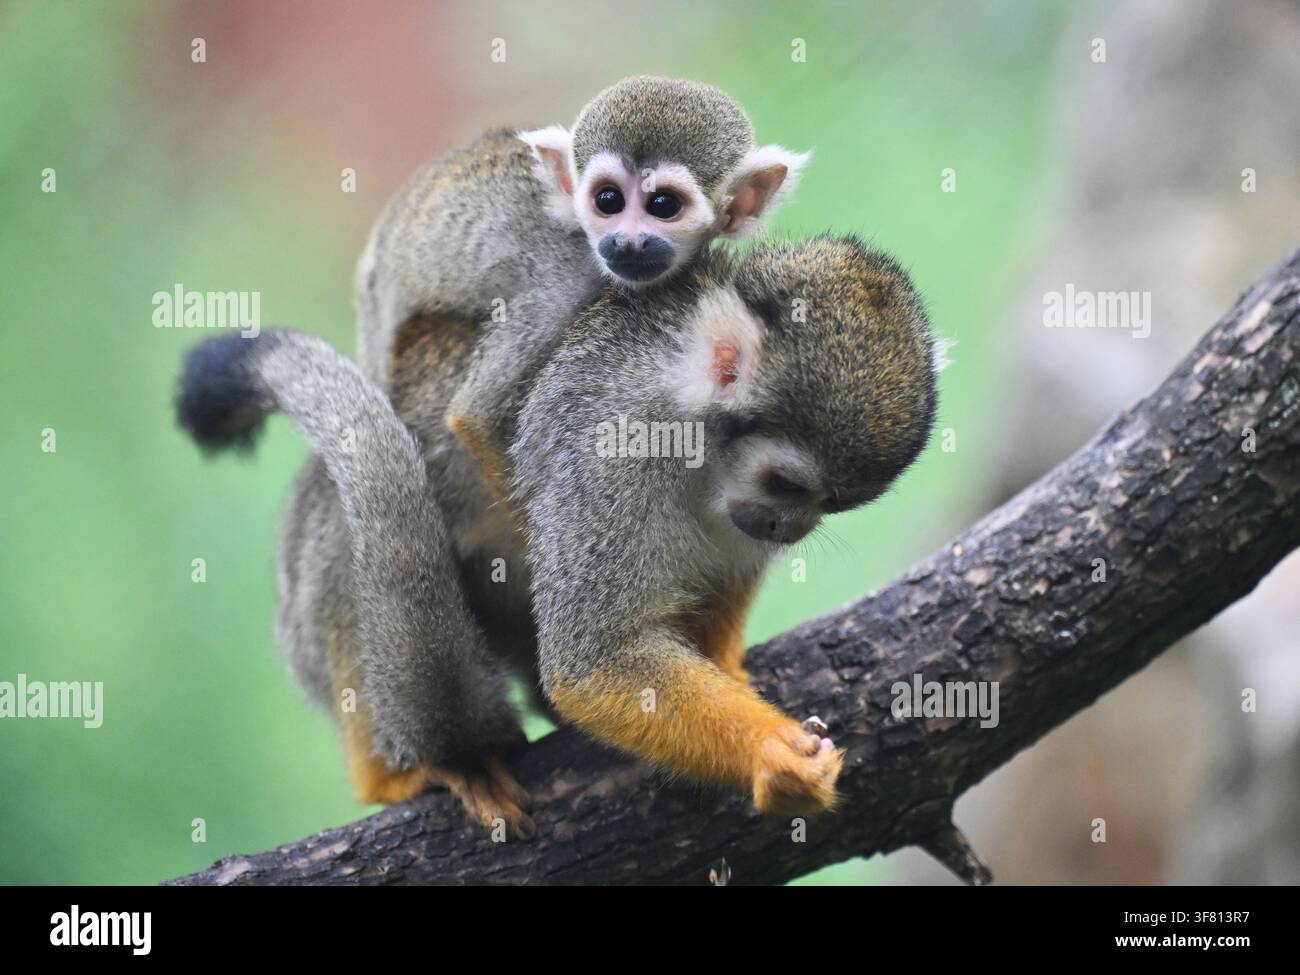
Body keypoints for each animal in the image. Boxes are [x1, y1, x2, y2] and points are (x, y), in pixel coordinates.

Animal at [177, 235, 940, 835]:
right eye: (786, 484)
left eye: (828, 505)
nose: (788, 526)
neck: (697, 442)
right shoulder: (614, 445)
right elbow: (593, 661)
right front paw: (771, 753)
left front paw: (722, 662)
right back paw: (394, 772)